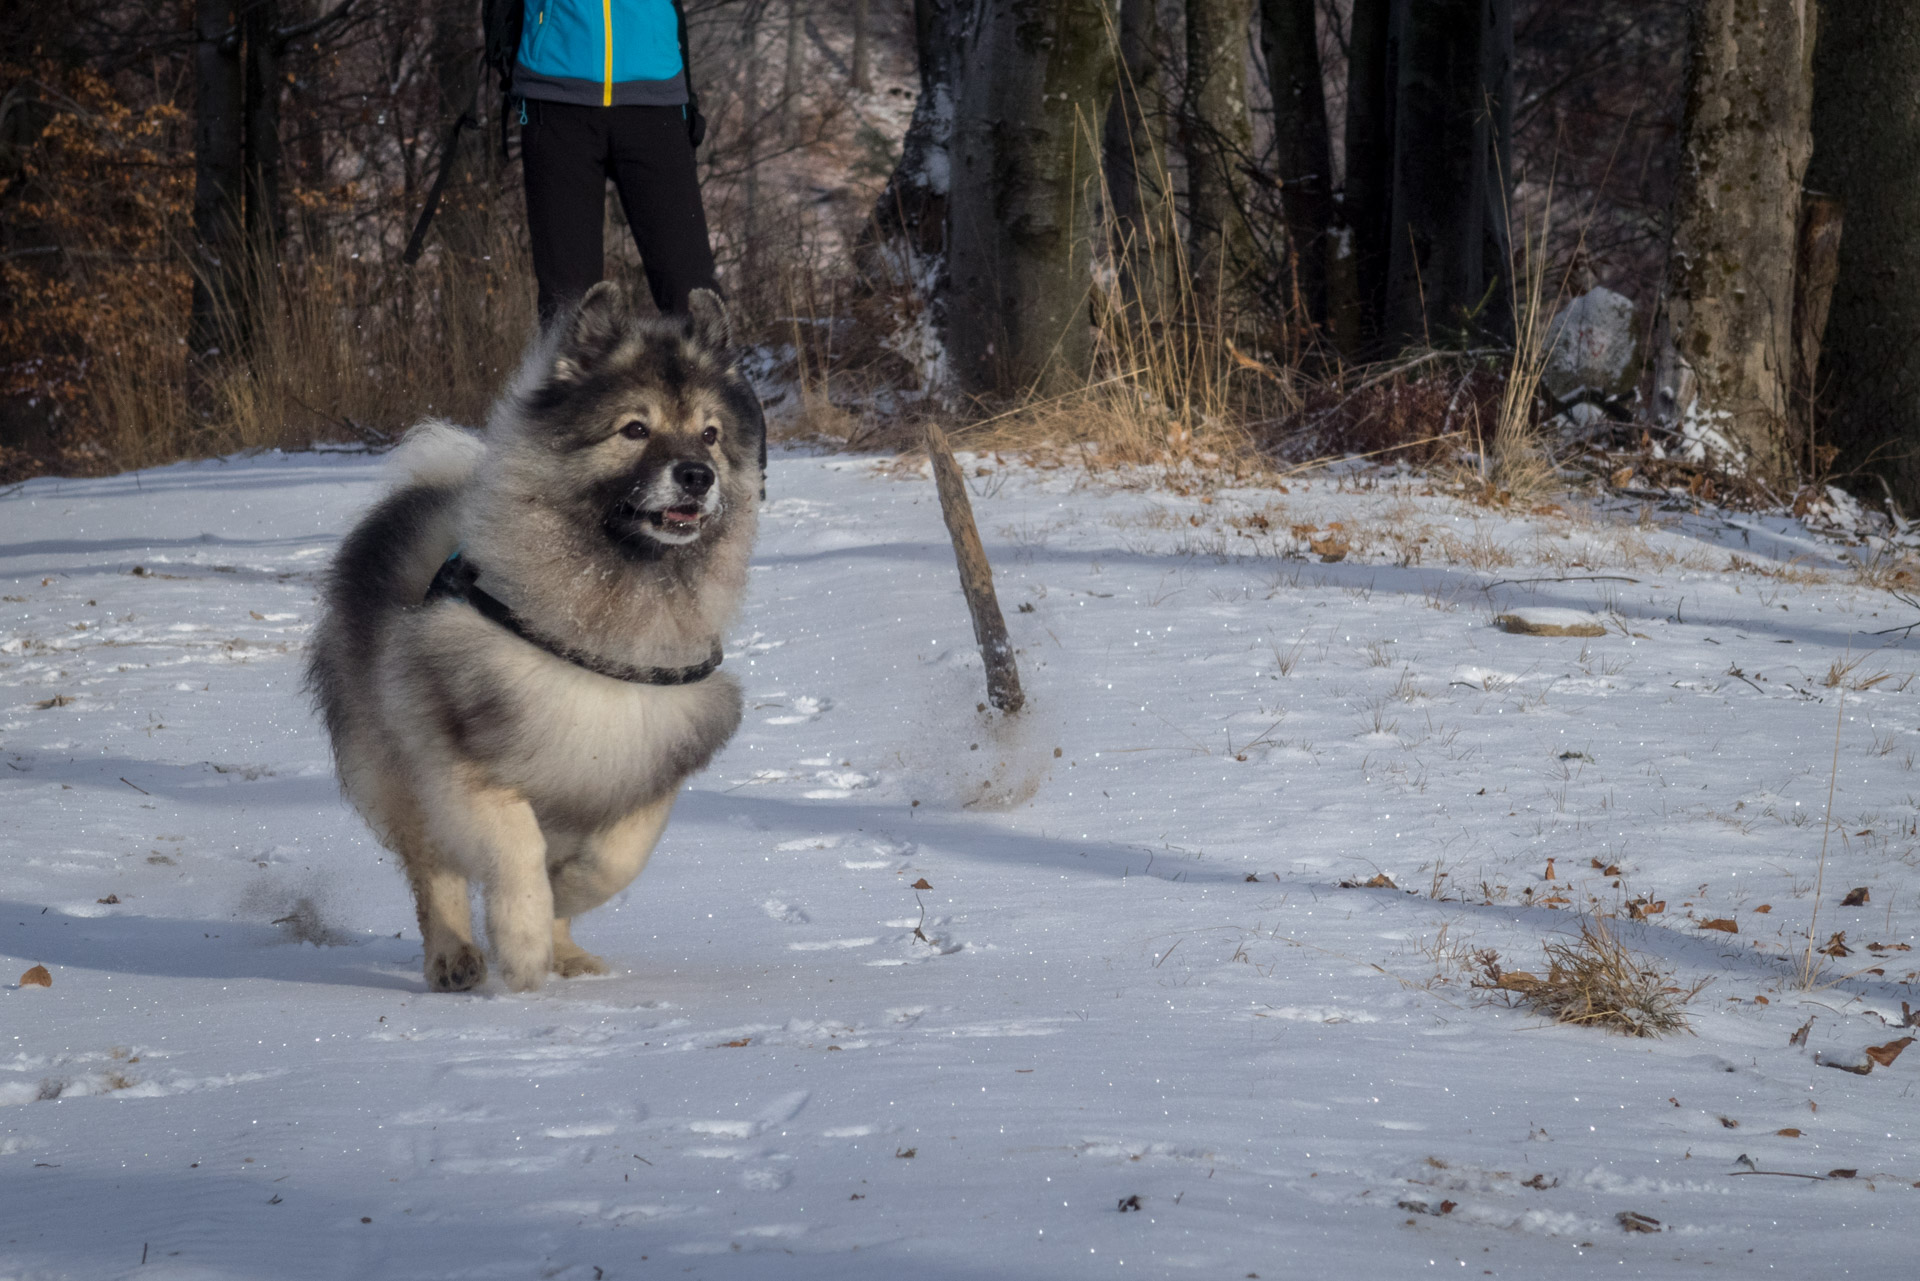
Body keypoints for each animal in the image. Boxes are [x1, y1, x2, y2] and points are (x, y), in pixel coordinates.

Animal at [309, 286, 764, 998]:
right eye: (635, 429)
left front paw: (565, 900)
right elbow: (516, 852)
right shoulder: (467, 758)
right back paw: (455, 958)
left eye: (710, 434)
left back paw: (566, 952)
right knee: (432, 870)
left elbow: (616, 857)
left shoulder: (641, 753)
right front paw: (523, 946)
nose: (696, 475)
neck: (606, 612)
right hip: (394, 762)